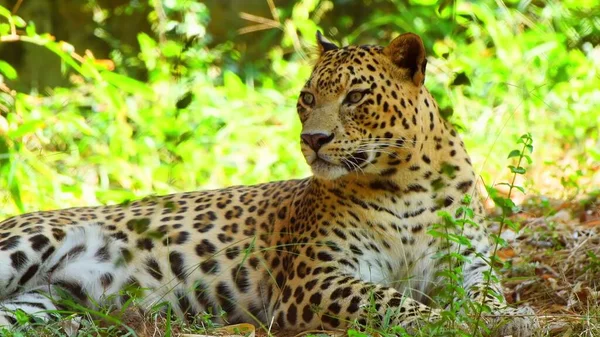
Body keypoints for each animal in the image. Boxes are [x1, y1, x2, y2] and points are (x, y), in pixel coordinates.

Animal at [0, 30, 540, 334]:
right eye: (307, 97)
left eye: (355, 97)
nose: (313, 139)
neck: (408, 180)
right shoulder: (314, 277)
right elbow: (390, 300)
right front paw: (444, 321)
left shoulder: (467, 264)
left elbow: (487, 293)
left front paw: (509, 317)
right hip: (27, 244)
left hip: (40, 301)